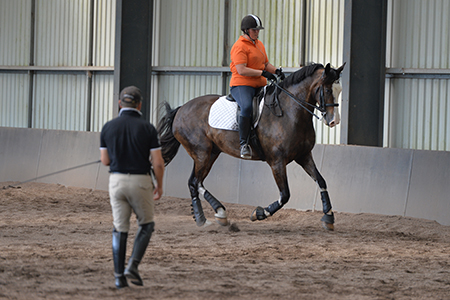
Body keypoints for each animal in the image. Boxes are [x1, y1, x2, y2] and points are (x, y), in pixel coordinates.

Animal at [156, 63, 346, 231]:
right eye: (328, 90)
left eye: (339, 91)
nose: (334, 121)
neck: (291, 113)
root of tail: (181, 109)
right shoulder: (277, 162)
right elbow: (285, 195)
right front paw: (259, 213)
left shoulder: (304, 156)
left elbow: (321, 181)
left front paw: (329, 217)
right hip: (201, 152)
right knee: (195, 182)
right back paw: (207, 217)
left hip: (211, 153)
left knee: (195, 182)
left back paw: (214, 215)